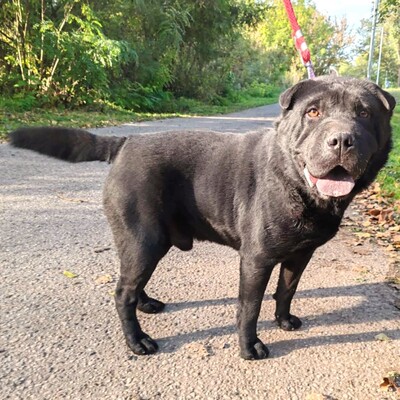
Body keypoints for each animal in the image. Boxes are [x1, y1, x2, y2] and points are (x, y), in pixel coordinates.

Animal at [8, 76, 394, 360]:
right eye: (313, 112)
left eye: (364, 113)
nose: (341, 139)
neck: (297, 185)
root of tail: (124, 142)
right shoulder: (256, 260)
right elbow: (249, 307)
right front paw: (249, 347)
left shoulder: (300, 255)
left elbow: (287, 290)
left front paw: (284, 320)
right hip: (144, 239)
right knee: (122, 293)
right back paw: (137, 341)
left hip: (149, 243)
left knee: (133, 285)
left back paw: (147, 304)